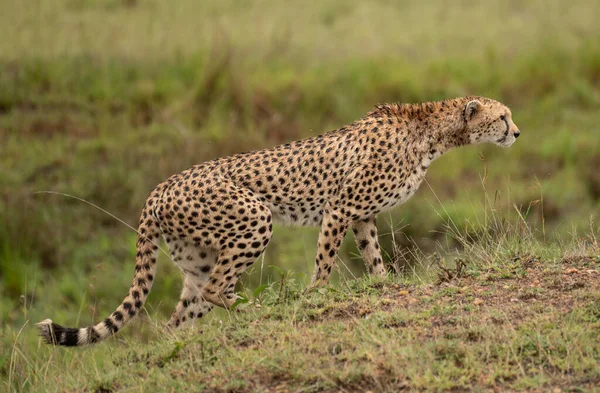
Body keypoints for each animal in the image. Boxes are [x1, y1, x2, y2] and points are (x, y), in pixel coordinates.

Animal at [37, 96, 516, 344]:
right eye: (502, 116)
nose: (515, 132)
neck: (432, 131)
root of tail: (159, 188)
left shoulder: (362, 215)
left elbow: (374, 258)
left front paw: (382, 286)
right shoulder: (340, 208)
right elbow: (325, 263)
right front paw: (314, 297)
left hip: (198, 258)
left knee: (181, 316)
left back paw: (180, 346)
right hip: (255, 218)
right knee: (217, 289)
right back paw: (259, 308)